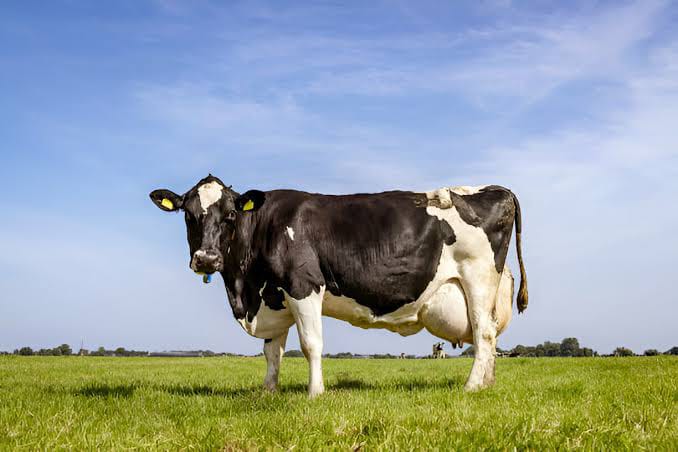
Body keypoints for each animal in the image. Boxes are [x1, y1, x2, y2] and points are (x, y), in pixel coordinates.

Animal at [150, 175, 527, 396]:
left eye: (230, 214)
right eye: (188, 214)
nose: (206, 259)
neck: (246, 290)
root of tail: (498, 189)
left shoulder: (303, 285)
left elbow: (311, 344)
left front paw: (315, 393)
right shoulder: (273, 296)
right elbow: (272, 353)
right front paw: (268, 392)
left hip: (477, 277)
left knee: (484, 334)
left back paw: (472, 387)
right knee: (490, 335)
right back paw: (488, 383)